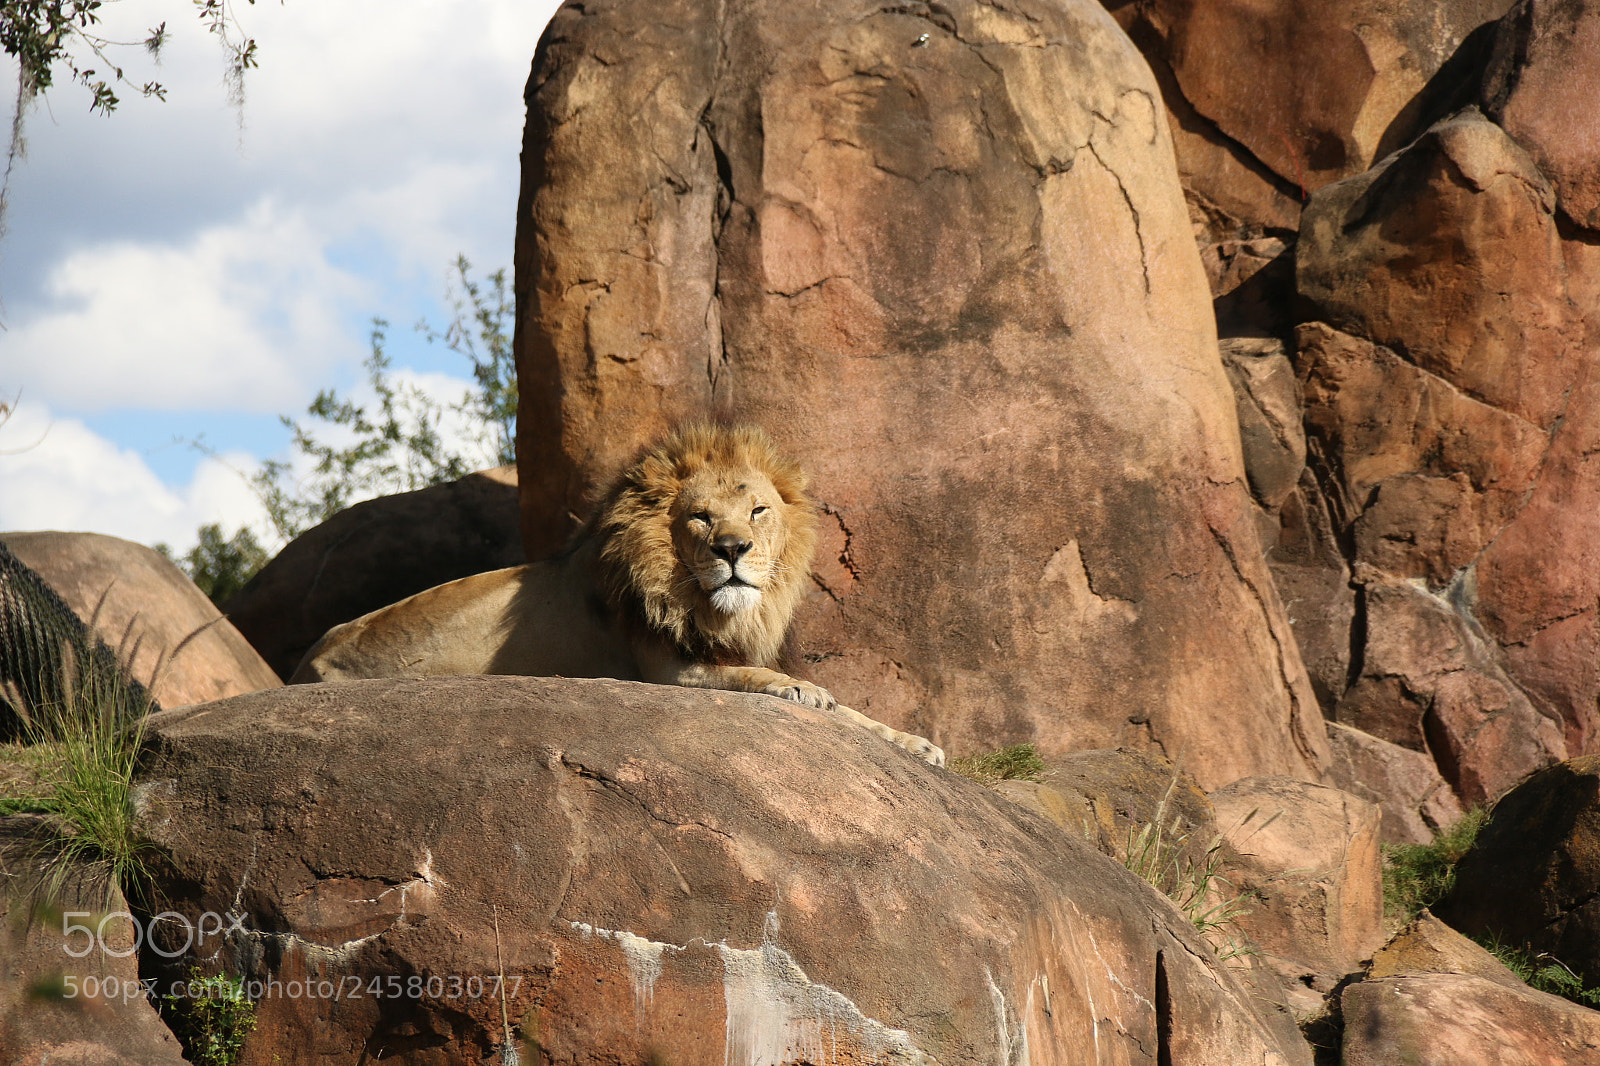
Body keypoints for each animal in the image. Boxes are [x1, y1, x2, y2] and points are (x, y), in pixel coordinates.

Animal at [290, 422, 944, 765]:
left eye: (758, 510)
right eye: (701, 518)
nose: (733, 550)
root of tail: (304, 663)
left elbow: (861, 716)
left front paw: (916, 743)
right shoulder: (668, 671)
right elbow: (766, 681)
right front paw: (804, 689)